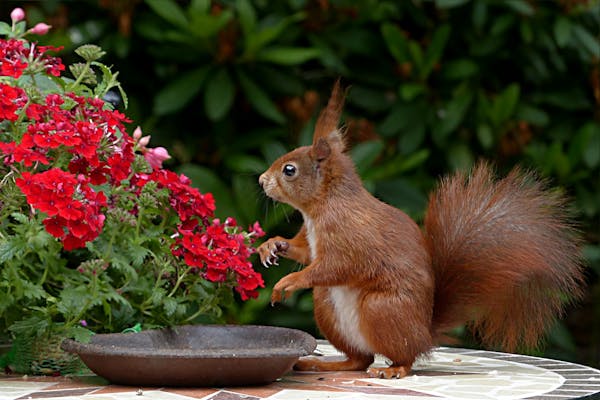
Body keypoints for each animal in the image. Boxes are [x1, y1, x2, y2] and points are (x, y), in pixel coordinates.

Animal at [255, 81, 584, 378]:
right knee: (360, 359)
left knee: (403, 356)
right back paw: (324, 364)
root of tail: (425, 333)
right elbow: (305, 253)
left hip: (381, 309)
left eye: (289, 170)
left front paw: (289, 281)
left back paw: (393, 368)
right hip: (327, 307)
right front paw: (271, 246)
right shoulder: (312, 240)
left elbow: (337, 266)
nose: (260, 180)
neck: (321, 207)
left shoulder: (350, 235)